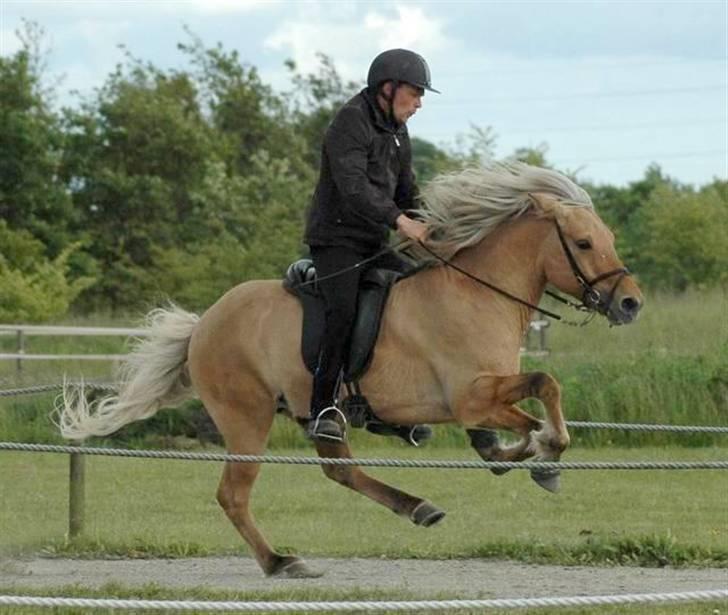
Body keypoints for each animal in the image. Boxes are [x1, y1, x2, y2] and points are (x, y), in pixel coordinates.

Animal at [57, 162, 644, 576]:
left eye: (609, 239)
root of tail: (204, 323)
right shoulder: (470, 398)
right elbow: (545, 388)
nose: (631, 304)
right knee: (234, 494)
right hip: (247, 418)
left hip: (316, 413)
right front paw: (546, 451)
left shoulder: (482, 401)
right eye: (584, 243)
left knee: (338, 470)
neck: (478, 294)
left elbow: (521, 416)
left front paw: (520, 456)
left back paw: (417, 507)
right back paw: (281, 563)